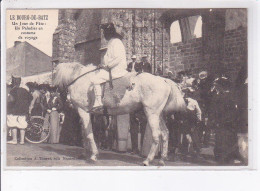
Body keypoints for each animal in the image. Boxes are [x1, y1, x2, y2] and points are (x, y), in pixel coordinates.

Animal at [53, 62, 186, 166]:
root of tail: (164, 80)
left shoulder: (83, 111)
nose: (59, 102)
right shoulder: (87, 113)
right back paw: (162, 159)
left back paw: (147, 160)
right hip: (159, 115)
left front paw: (93, 155)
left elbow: (89, 134)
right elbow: (85, 132)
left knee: (156, 135)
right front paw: (85, 153)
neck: (80, 79)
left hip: (151, 113)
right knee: (165, 133)